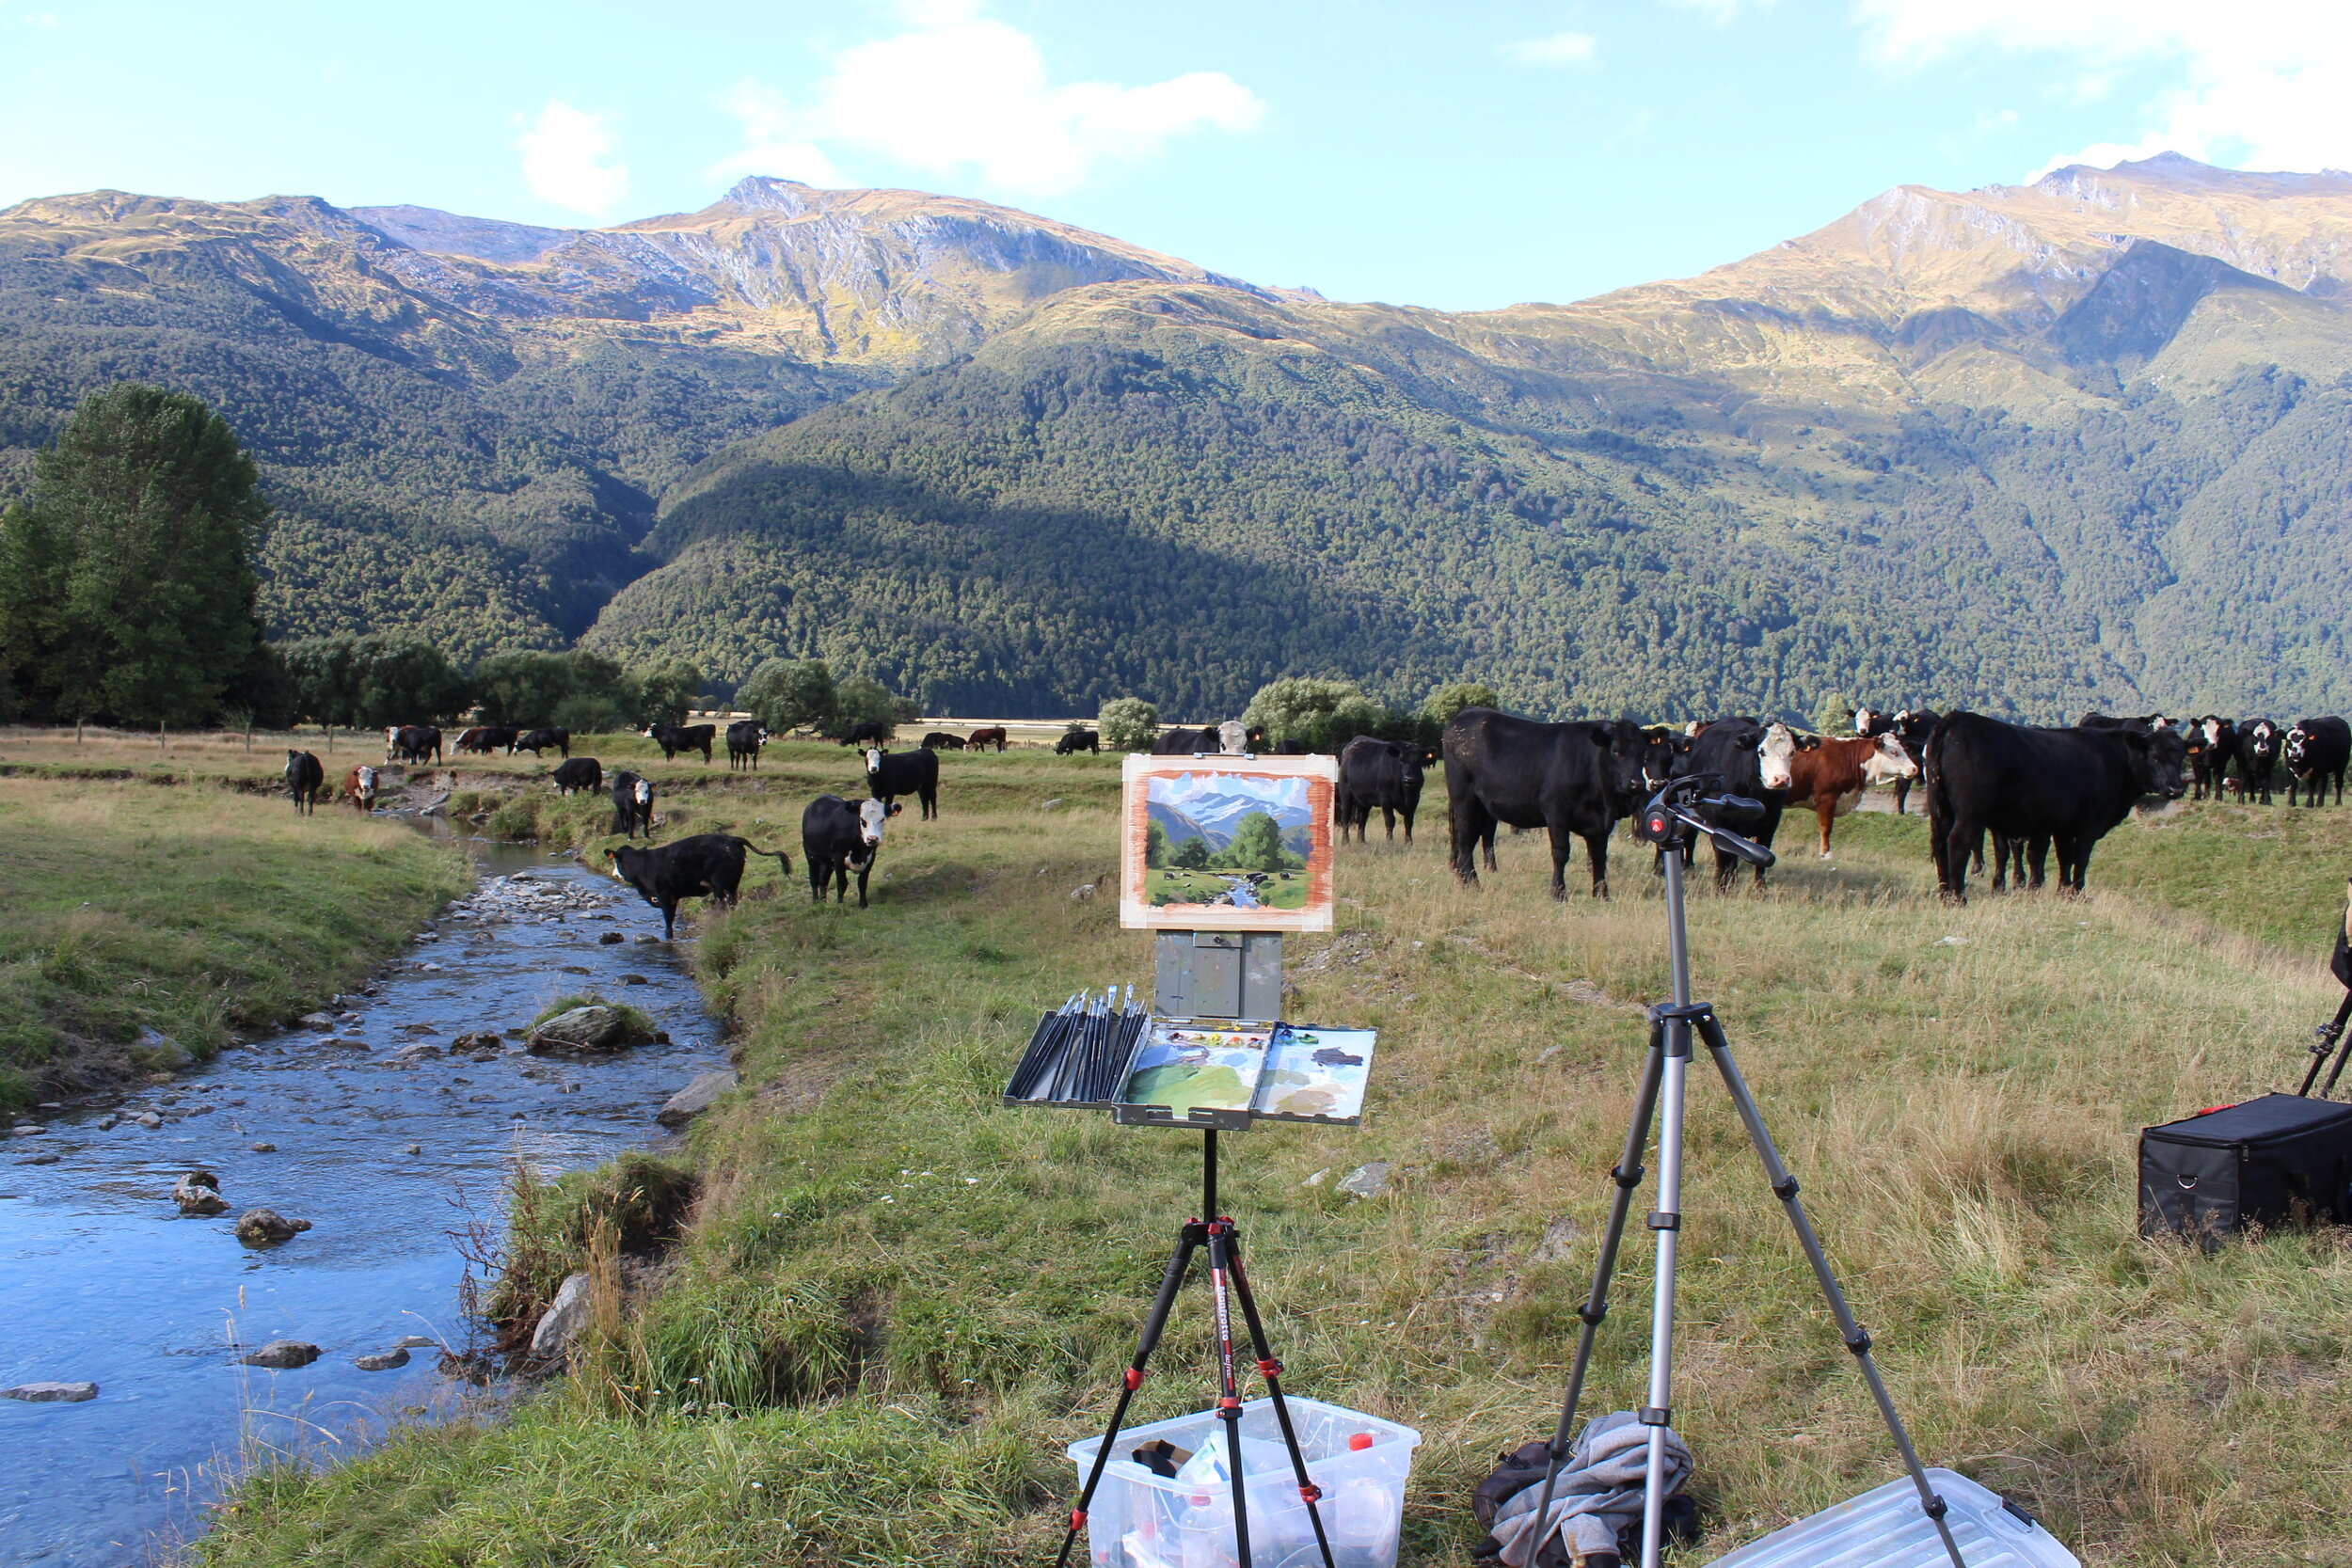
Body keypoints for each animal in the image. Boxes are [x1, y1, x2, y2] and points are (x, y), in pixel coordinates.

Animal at [602, 841, 795, 940]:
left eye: (616, 861)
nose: (614, 873)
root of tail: (733, 838)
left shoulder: (665, 895)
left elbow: (668, 919)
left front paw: (668, 936)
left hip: (720, 885)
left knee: (724, 903)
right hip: (732, 884)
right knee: (732, 902)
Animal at [1439, 709, 1646, 902]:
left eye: (1643, 754)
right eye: (1616, 751)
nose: (1637, 783)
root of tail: (1465, 715)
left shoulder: (1601, 825)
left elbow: (1599, 857)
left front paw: (1602, 894)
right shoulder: (1557, 814)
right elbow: (1561, 853)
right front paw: (1558, 893)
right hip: (1465, 801)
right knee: (1466, 842)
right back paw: (1472, 883)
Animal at [1929, 709, 2183, 893]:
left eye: (2180, 756)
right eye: (2155, 757)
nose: (2176, 788)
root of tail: (1955, 718)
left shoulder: (2062, 824)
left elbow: (2064, 857)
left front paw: (2062, 890)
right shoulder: (2090, 821)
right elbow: (2080, 856)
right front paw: (2077, 893)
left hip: (1941, 809)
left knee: (1940, 843)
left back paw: (1945, 894)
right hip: (1970, 812)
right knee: (1958, 843)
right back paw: (1958, 898)